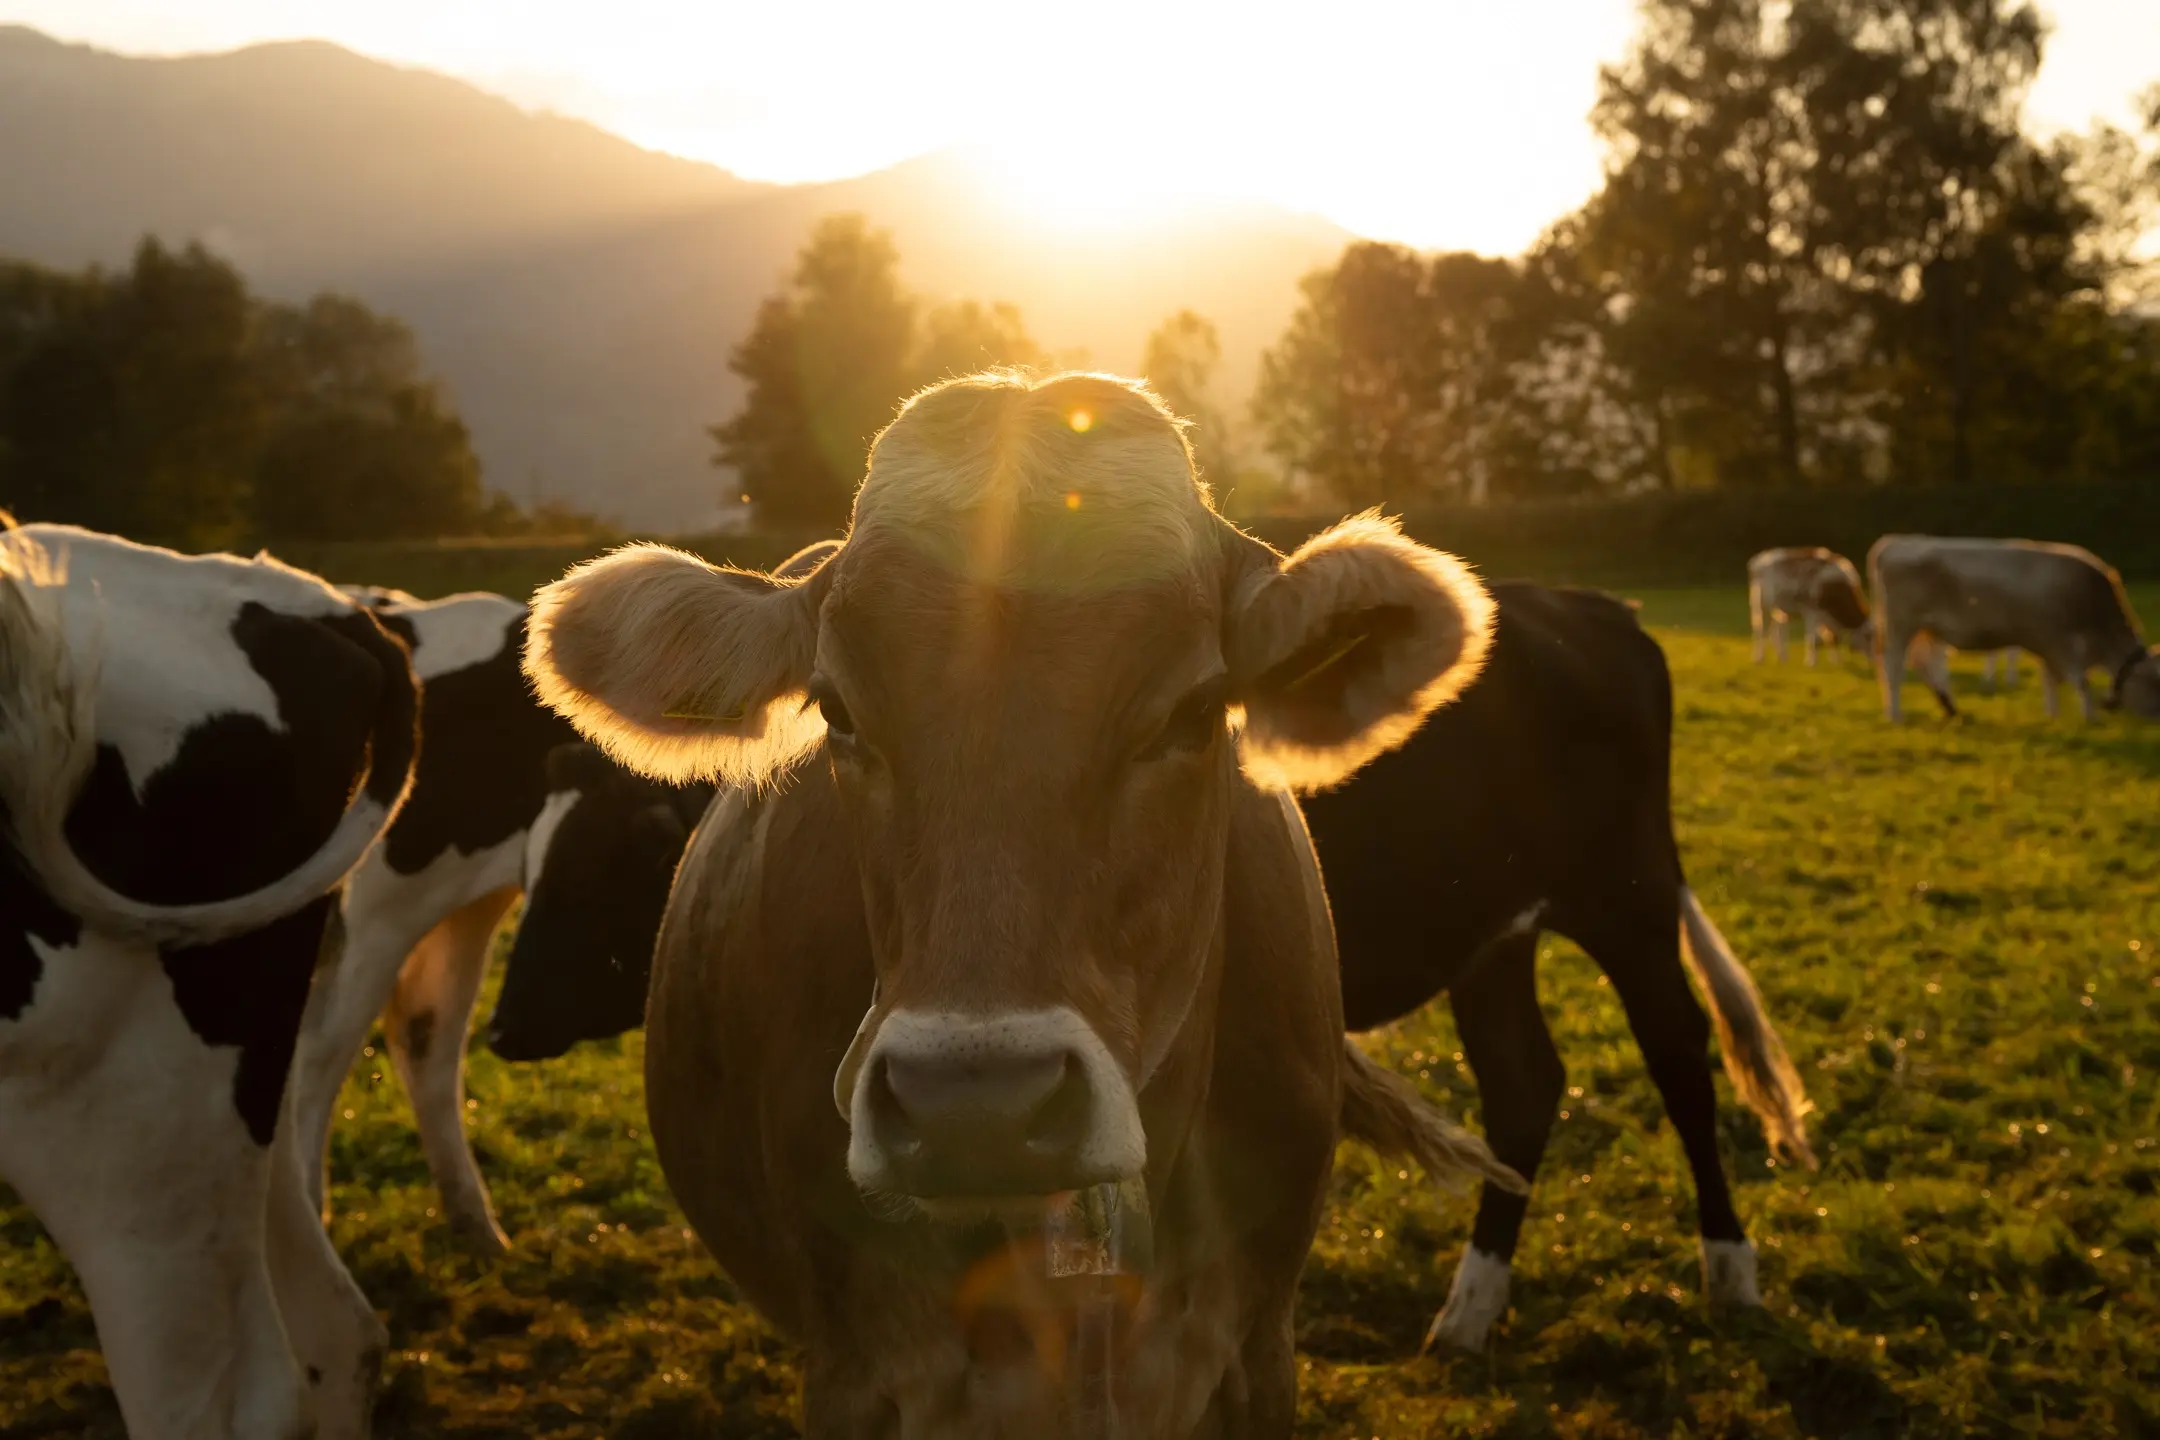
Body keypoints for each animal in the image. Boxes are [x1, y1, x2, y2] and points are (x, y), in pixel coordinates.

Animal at [1299, 580, 1815, 1351]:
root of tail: (1584, 601)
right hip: (1488, 933)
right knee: (1525, 1081)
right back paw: (1468, 1311)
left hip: (1626, 896)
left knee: (1677, 1053)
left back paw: (1729, 1267)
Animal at [1867, 535, 2160, 722]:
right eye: (2155, 683)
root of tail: (1893, 544)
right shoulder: (2057, 642)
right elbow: (2080, 681)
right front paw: (2091, 718)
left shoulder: (2047, 644)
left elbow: (2050, 680)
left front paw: (2053, 716)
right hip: (1901, 624)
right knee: (1893, 666)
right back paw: (1895, 715)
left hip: (1926, 629)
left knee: (1924, 663)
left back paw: (1949, 707)